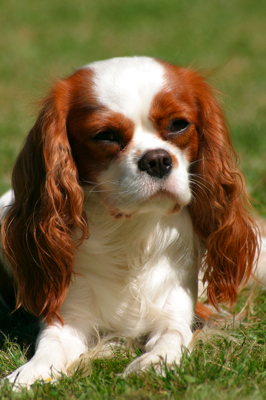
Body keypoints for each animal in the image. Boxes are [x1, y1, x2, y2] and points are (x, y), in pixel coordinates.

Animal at [0, 57, 260, 388]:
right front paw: (29, 373)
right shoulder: (66, 315)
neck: (129, 231)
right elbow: (51, 345)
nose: (157, 159)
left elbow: (172, 335)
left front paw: (154, 362)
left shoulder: (176, 308)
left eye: (179, 125)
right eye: (106, 135)